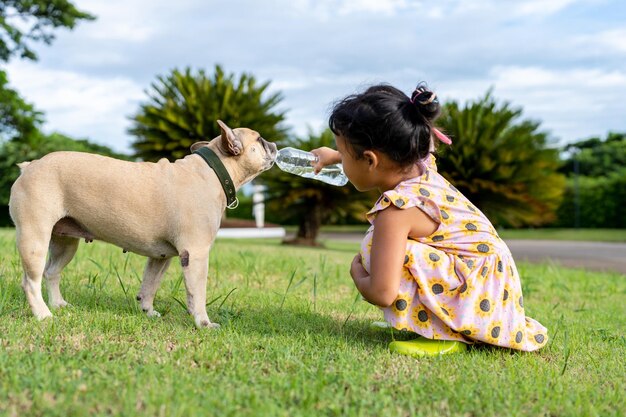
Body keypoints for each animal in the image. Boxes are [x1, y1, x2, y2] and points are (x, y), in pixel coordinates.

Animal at [8, 120, 276, 328]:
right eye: (259, 139)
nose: (273, 145)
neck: (213, 171)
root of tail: (30, 166)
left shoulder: (160, 257)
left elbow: (150, 285)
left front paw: (148, 311)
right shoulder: (196, 254)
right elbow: (197, 292)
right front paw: (203, 323)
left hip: (65, 244)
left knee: (51, 272)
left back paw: (58, 304)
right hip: (35, 238)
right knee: (30, 281)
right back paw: (43, 315)